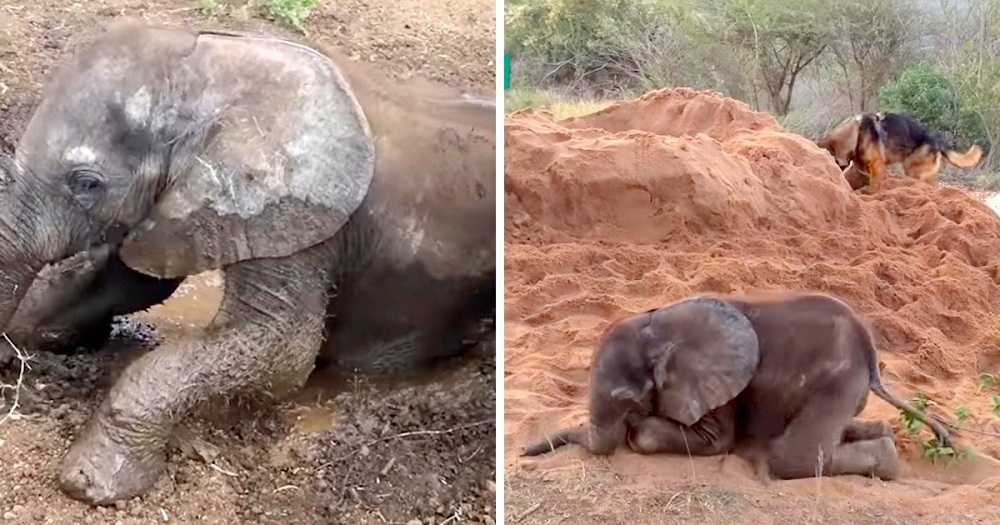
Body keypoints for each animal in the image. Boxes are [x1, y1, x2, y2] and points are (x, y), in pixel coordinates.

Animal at [0, 21, 496, 504]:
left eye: (87, 183)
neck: (213, 62)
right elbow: (130, 282)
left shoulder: (299, 216)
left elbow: (283, 351)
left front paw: (89, 483)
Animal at [524, 292, 952, 482]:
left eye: (625, 400)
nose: (526, 453)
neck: (659, 327)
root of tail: (871, 353)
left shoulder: (718, 390)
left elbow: (715, 441)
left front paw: (636, 429)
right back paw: (880, 435)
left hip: (837, 380)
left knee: (790, 458)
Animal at [820, 111, 984, 191]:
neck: (857, 132)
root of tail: (937, 140)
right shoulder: (862, 170)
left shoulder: (877, 168)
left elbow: (874, 188)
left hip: (911, 168)